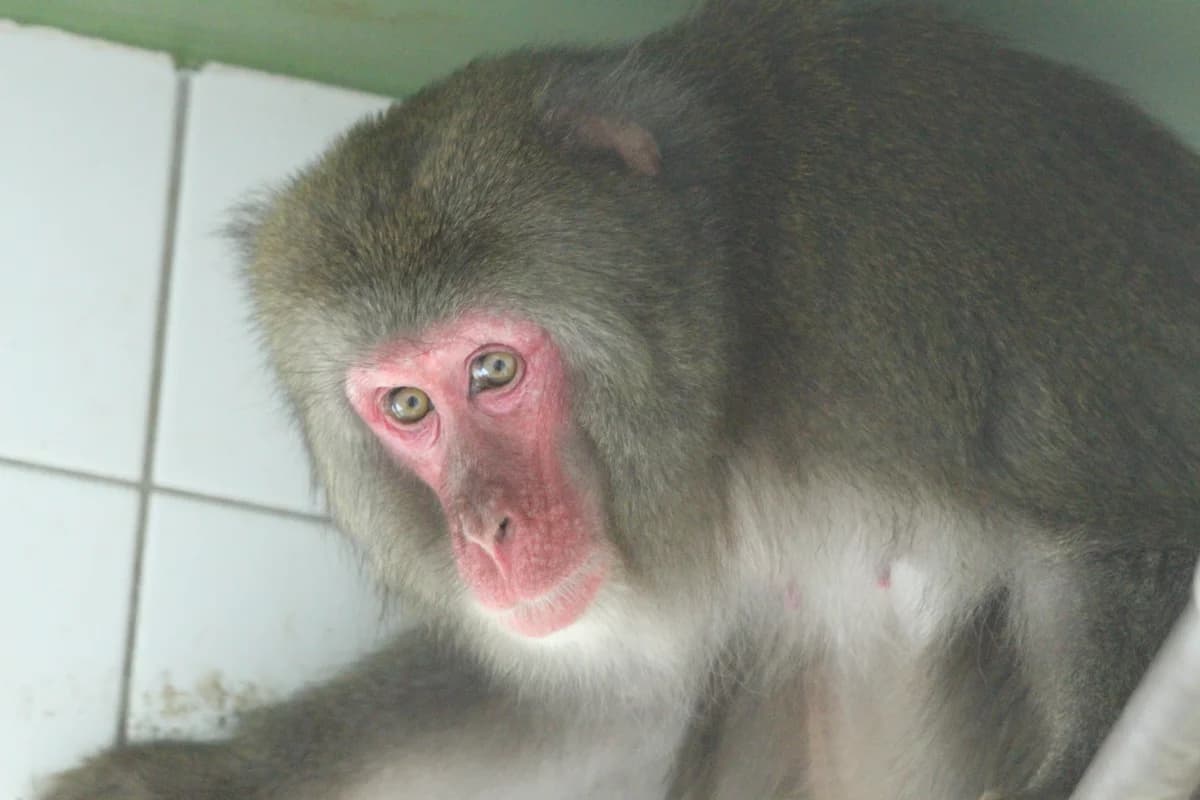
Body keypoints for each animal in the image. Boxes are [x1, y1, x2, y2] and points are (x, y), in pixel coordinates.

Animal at [43, 0, 1200, 798]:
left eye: (494, 371)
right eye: (408, 406)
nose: (488, 530)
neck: (743, 384)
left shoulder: (912, 260)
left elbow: (1116, 545)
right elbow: (609, 704)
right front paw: (189, 778)